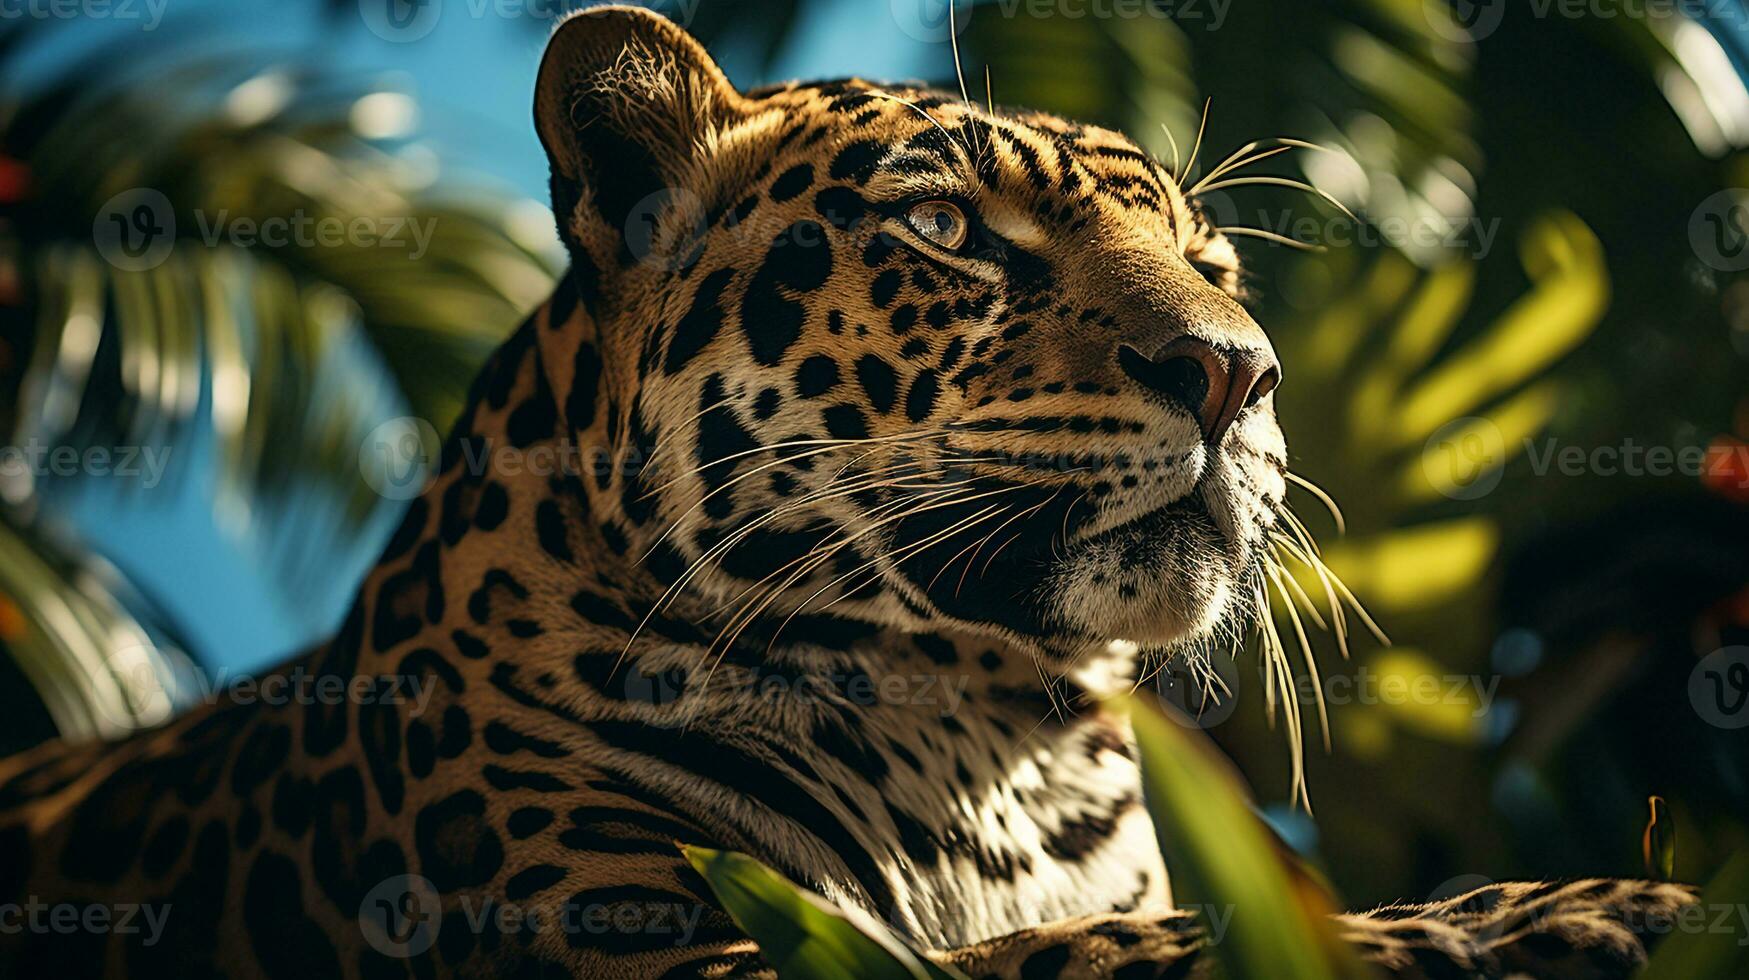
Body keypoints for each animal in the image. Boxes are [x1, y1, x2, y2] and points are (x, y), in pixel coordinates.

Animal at [0, 7, 1700, 980]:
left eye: (1212, 265)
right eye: (948, 229)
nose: (1235, 372)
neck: (987, 746)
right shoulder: (677, 953)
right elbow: (1086, 957)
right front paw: (1529, 919)